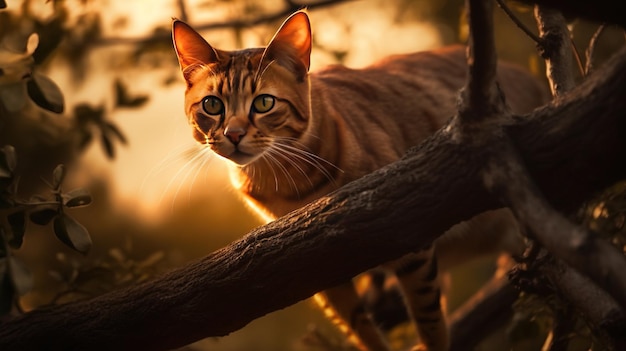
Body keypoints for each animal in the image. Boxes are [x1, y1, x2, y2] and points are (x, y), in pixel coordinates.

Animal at [172, 9, 544, 350]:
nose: (233, 134)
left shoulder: (407, 227)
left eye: (264, 103)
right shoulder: (310, 263)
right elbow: (359, 326)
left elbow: (428, 316)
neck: (288, 182)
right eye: (212, 105)